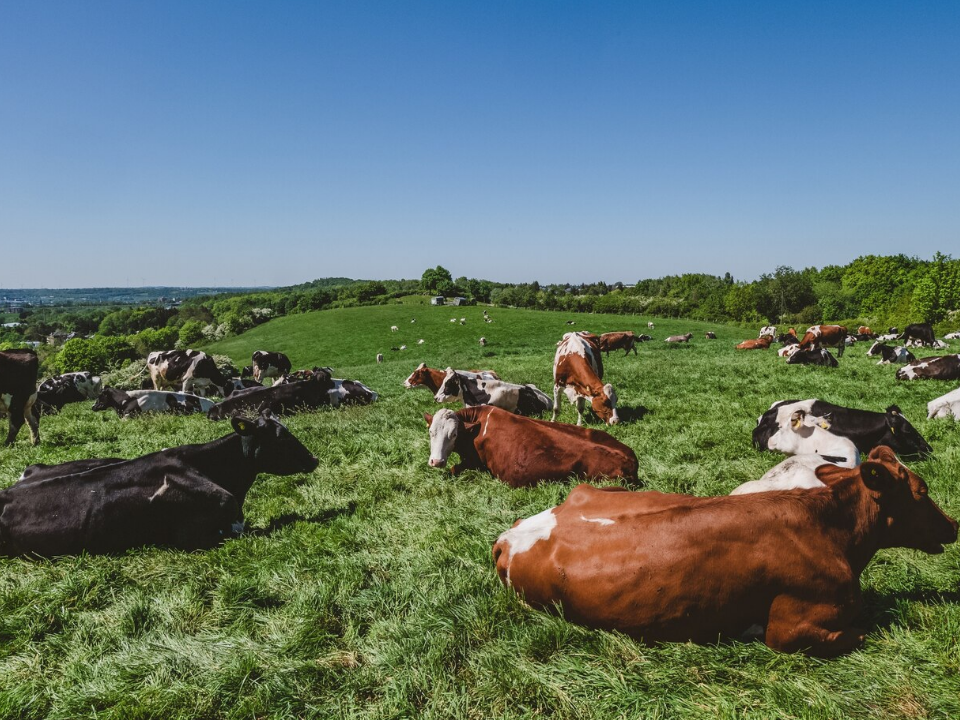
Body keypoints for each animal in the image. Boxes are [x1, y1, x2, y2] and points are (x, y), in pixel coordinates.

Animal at [426, 404, 636, 490]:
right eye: (431, 432)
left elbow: (454, 469)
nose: (436, 461)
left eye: (454, 434)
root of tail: (630, 459)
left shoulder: (474, 462)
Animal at [496, 442, 960, 656]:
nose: (954, 525)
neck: (831, 530)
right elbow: (863, 633)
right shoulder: (790, 630)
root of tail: (510, 534)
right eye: (922, 490)